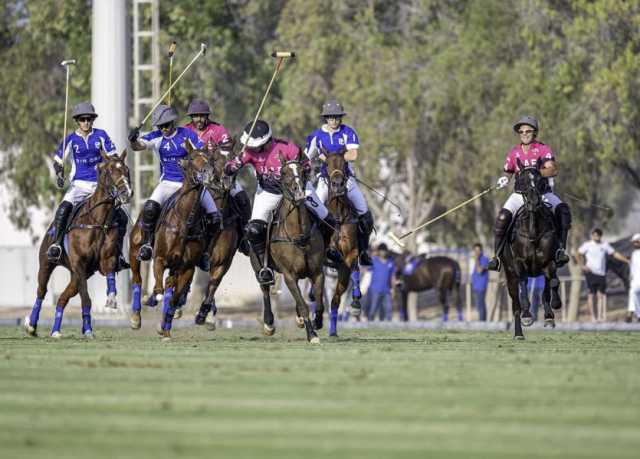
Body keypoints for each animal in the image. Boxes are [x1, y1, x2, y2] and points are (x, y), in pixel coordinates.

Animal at [24, 151, 132, 338]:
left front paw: (111, 300)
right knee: (41, 292)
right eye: (111, 170)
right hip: (47, 264)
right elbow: (86, 299)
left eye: (126, 170)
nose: (127, 192)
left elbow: (110, 277)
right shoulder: (79, 264)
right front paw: (88, 329)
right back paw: (32, 326)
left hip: (77, 275)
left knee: (62, 298)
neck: (98, 221)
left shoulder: (106, 261)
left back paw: (55, 331)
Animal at [129, 144, 214, 338]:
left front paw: (165, 328)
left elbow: (174, 299)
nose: (208, 173)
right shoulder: (159, 259)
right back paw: (136, 317)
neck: (185, 221)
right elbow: (159, 289)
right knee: (138, 279)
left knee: (168, 285)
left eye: (208, 157)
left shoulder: (187, 268)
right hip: (134, 250)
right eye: (191, 158)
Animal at [256, 156, 322, 344]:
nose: (299, 192)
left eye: (303, 170)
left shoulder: (317, 272)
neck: (298, 234)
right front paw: (312, 335)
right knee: (264, 288)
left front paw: (316, 322)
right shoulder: (288, 275)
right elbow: (303, 304)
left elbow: (318, 303)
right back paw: (268, 324)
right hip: (258, 265)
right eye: (284, 172)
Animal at [312, 153, 362, 336]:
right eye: (326, 163)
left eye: (344, 162)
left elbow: (336, 297)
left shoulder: (351, 253)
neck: (338, 216)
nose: (338, 184)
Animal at [500, 160, 560, 340]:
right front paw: (527, 314)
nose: (533, 201)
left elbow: (552, 282)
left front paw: (552, 310)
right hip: (509, 275)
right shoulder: (519, 264)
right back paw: (518, 333)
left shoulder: (549, 262)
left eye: (540, 180)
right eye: (522, 180)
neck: (533, 231)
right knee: (515, 304)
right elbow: (523, 284)